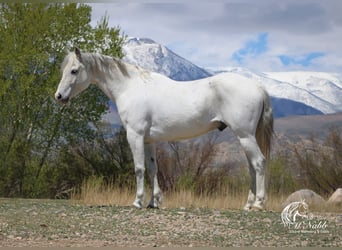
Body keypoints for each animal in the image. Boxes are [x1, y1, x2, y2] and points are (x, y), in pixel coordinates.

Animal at [56, 47, 276, 211]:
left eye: (74, 70)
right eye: (63, 70)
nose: (58, 96)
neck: (130, 87)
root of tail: (258, 87)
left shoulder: (135, 136)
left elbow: (139, 168)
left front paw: (137, 201)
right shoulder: (149, 140)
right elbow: (153, 169)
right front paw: (154, 202)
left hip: (245, 136)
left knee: (259, 163)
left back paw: (258, 204)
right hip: (245, 138)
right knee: (251, 167)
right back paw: (248, 204)